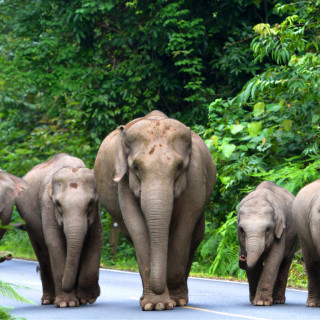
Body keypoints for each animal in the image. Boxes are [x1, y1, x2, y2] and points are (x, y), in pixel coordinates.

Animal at [15, 154, 102, 308]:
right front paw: (67, 303)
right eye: (59, 205)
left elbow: (95, 241)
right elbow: (55, 244)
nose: (98, 291)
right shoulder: (47, 205)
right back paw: (48, 300)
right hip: (29, 223)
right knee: (43, 254)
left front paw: (86, 298)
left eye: (90, 204)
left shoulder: (96, 211)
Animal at [94, 109, 216, 310]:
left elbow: (183, 228)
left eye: (179, 167)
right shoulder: (124, 184)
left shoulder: (196, 177)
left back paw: (180, 299)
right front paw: (155, 305)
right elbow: (138, 229)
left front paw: (174, 301)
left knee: (196, 236)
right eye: (135, 167)